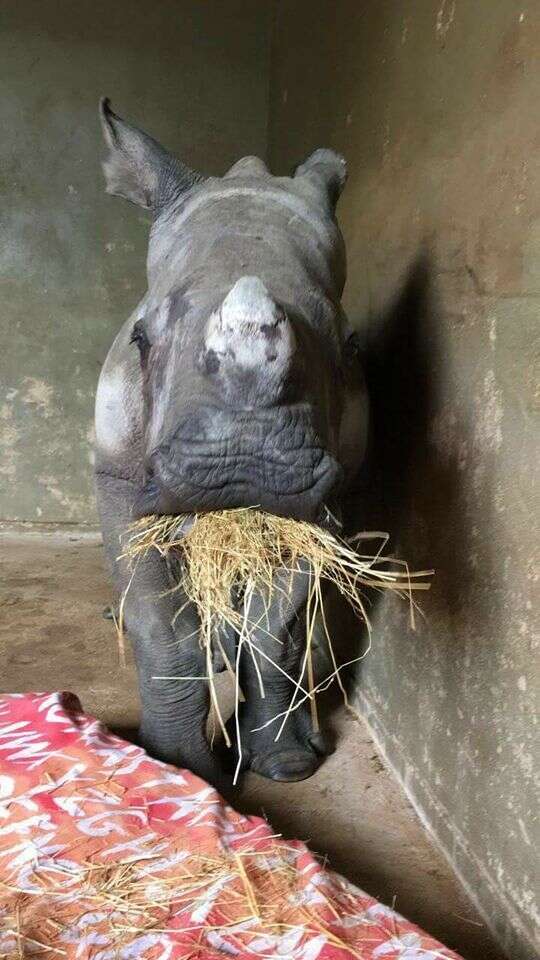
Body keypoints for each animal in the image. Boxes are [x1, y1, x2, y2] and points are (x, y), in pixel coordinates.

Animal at [95, 95, 370, 788]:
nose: (242, 467)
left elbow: (273, 630)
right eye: (140, 340)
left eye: (352, 349)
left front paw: (288, 763)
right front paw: (177, 768)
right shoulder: (117, 476)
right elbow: (161, 630)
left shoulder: (327, 496)